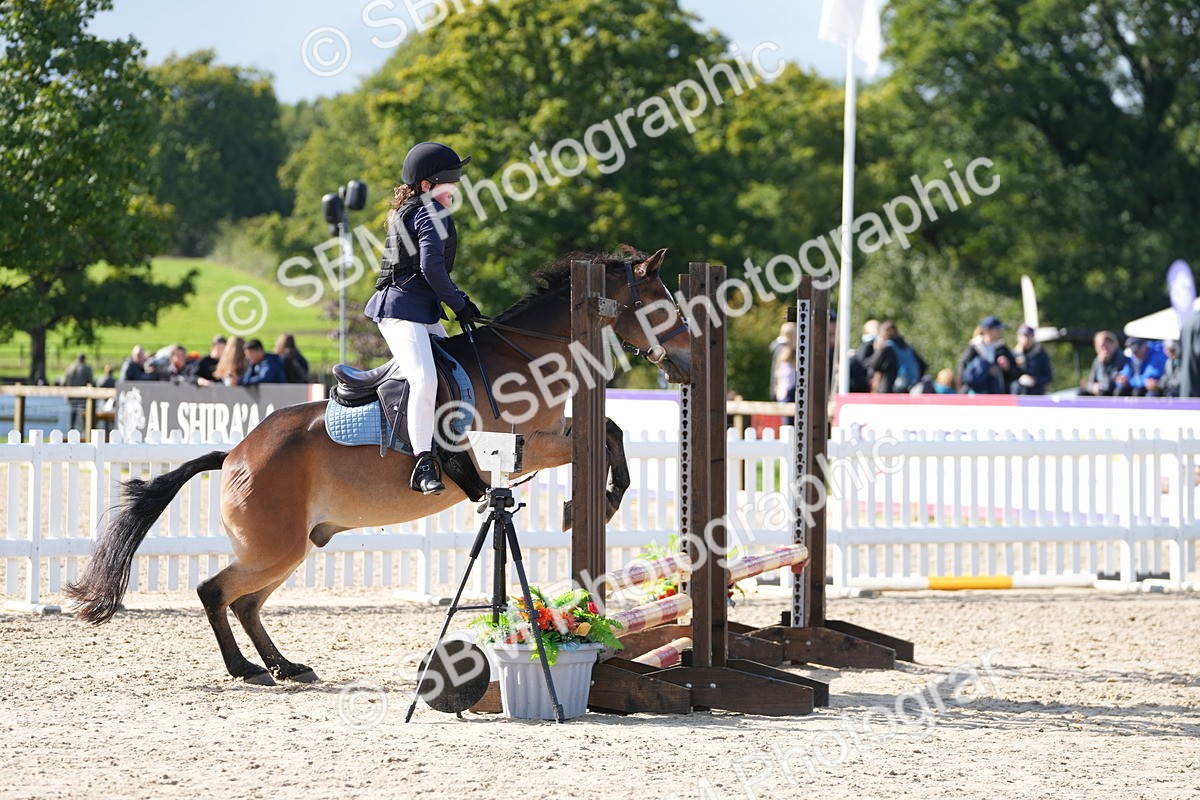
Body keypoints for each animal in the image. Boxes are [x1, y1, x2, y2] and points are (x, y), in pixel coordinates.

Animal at [67, 247, 692, 685]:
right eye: (663, 303)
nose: (686, 362)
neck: (525, 353)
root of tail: (236, 453)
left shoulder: (548, 438)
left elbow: (611, 433)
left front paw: (597, 500)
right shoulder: (524, 446)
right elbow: (604, 437)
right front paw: (594, 503)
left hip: (286, 549)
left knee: (245, 603)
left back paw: (285, 666)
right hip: (274, 548)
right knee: (215, 592)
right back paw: (247, 669)